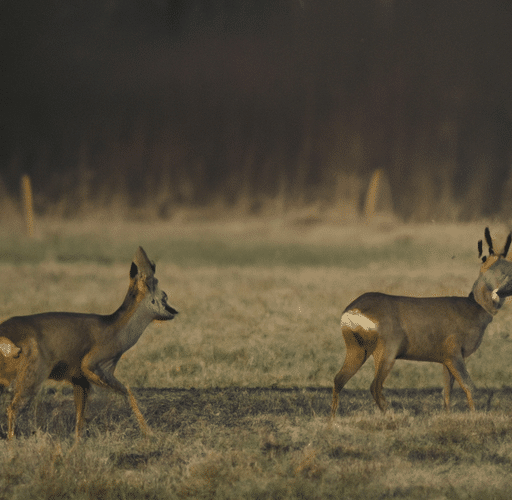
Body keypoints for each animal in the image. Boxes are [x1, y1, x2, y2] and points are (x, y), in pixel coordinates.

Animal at [0, 247, 178, 442]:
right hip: (31, 380)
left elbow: (80, 418)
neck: (116, 329)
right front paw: (150, 433)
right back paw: (12, 442)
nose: (174, 309)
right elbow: (129, 392)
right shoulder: (92, 366)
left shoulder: (80, 380)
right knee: (13, 409)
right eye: (163, 293)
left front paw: (78, 443)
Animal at [330, 229, 512, 420]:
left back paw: (332, 420)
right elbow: (469, 387)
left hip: (357, 348)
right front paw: (474, 417)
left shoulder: (445, 358)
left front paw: (447, 416)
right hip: (387, 348)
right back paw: (392, 414)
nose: (503, 291)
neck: (474, 308)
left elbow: (447, 392)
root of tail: (351, 310)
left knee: (339, 379)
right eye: (495, 269)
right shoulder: (453, 351)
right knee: (374, 385)